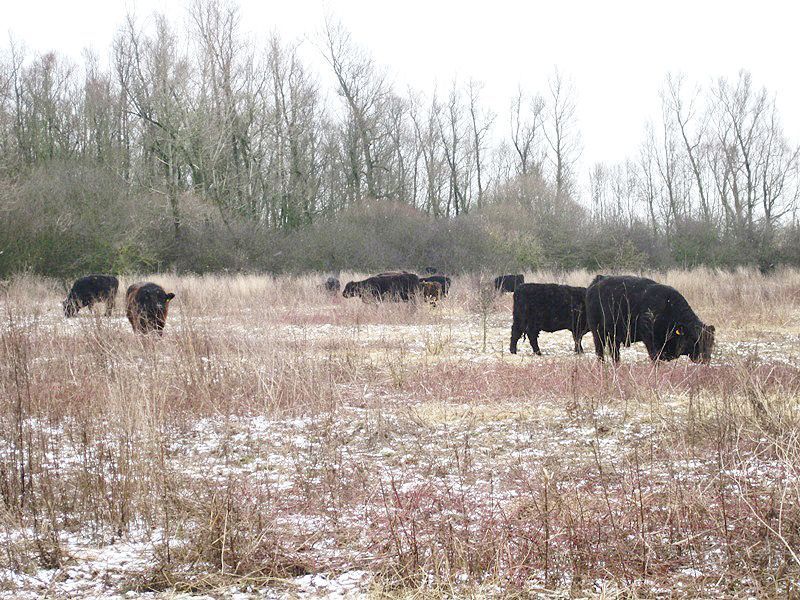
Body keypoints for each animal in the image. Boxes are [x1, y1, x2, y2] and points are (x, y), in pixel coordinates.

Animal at [584, 274, 716, 364]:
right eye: (694, 339)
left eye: (711, 341)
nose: (705, 359)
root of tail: (598, 280)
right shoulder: (650, 341)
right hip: (597, 333)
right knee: (600, 352)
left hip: (613, 335)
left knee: (614, 352)